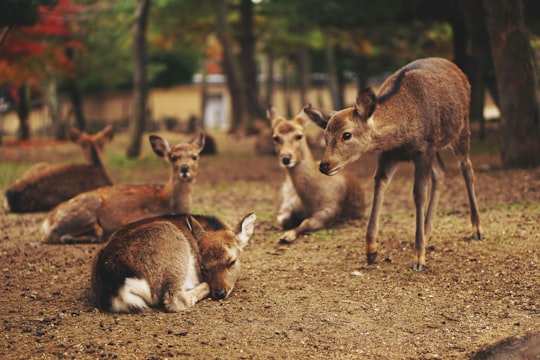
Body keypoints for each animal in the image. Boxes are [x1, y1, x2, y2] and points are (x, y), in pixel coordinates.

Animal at [41, 133, 206, 245]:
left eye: (195, 156)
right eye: (173, 157)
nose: (184, 168)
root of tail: (47, 220)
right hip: (84, 211)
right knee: (53, 236)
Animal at [270, 105, 368, 243]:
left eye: (299, 136)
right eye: (275, 137)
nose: (286, 158)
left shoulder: (331, 209)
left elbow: (307, 222)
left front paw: (287, 236)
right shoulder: (291, 203)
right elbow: (282, 218)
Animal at [304, 57, 486, 270]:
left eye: (346, 135)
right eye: (325, 135)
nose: (324, 165)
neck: (401, 136)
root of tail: (459, 71)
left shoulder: (424, 148)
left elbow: (418, 194)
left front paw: (418, 258)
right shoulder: (389, 154)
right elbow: (379, 184)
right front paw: (371, 250)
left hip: (461, 128)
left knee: (466, 168)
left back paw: (477, 229)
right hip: (437, 147)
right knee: (441, 171)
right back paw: (427, 231)